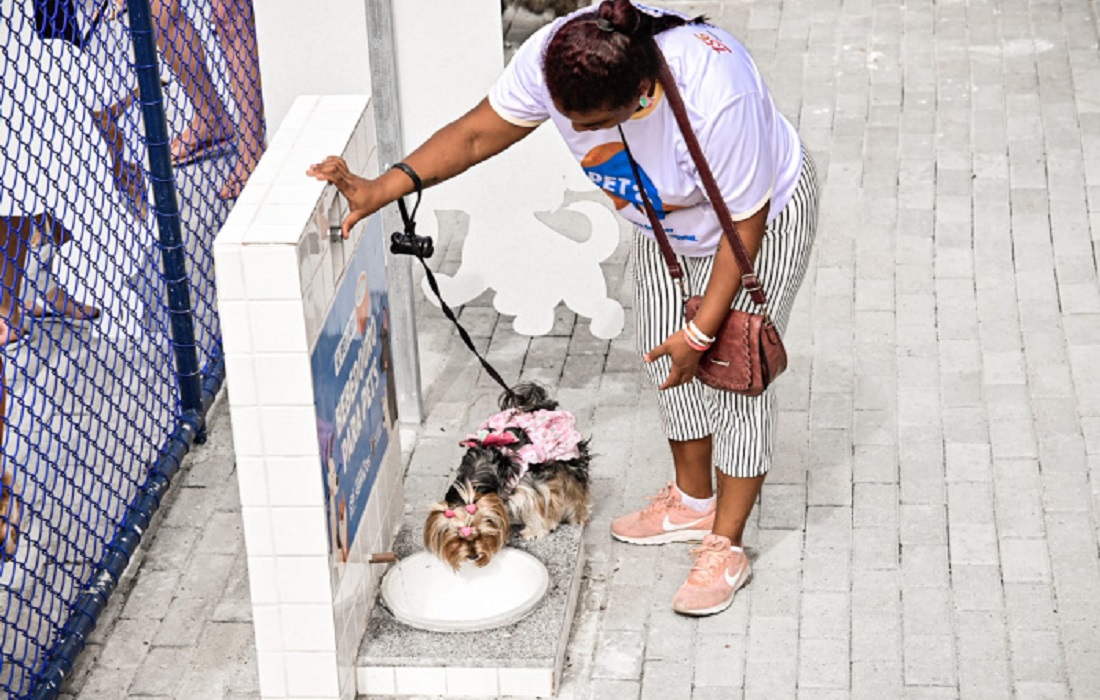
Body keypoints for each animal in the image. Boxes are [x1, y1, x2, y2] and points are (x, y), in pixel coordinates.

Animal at [424, 383, 591, 569]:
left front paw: (533, 531)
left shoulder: (530, 486)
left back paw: (578, 517)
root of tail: (535, 404)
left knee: (576, 487)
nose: (473, 556)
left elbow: (537, 508)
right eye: (458, 538)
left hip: (569, 457)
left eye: (481, 534)